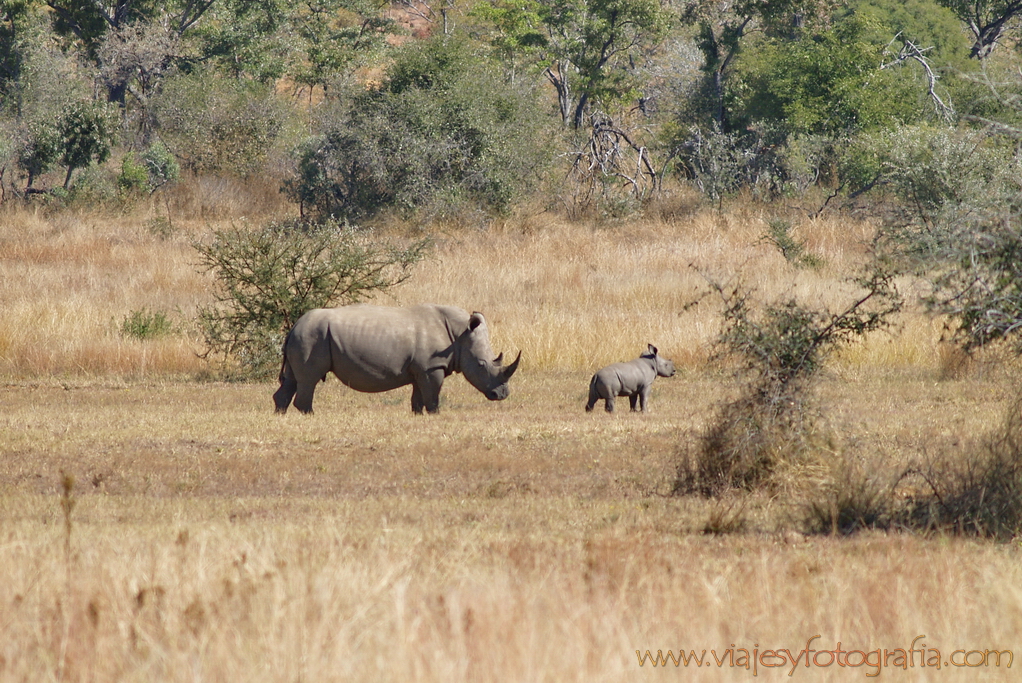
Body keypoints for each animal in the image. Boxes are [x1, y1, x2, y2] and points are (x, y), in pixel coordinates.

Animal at [273, 304, 519, 413]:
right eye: (481, 364)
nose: (501, 395)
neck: (460, 334)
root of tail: (293, 327)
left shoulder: (422, 369)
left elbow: (418, 399)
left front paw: (419, 416)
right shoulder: (432, 367)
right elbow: (433, 398)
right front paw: (435, 416)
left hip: (305, 336)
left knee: (292, 380)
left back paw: (281, 416)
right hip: (312, 337)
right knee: (309, 380)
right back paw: (310, 415)